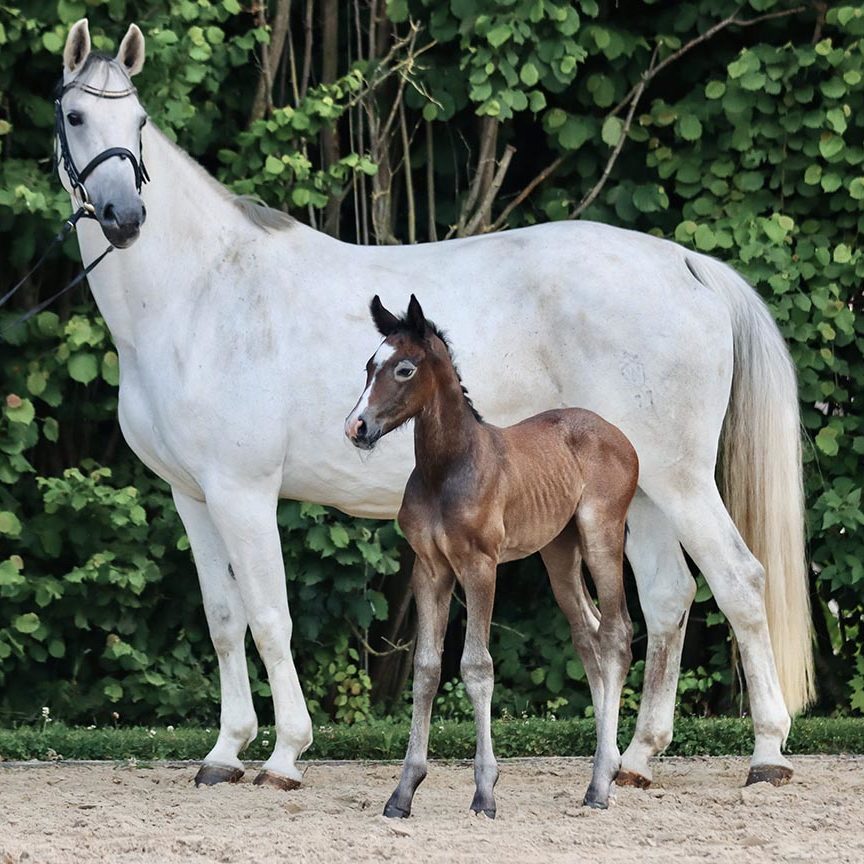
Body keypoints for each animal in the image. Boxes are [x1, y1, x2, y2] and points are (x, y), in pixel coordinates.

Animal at [346, 296, 640, 816]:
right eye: (368, 366)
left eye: (404, 368)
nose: (356, 426)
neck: (446, 470)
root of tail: (619, 436)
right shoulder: (430, 570)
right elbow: (426, 668)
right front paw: (403, 790)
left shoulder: (480, 566)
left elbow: (476, 667)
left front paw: (485, 791)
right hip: (559, 553)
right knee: (588, 634)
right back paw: (607, 768)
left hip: (601, 535)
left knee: (617, 634)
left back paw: (600, 785)